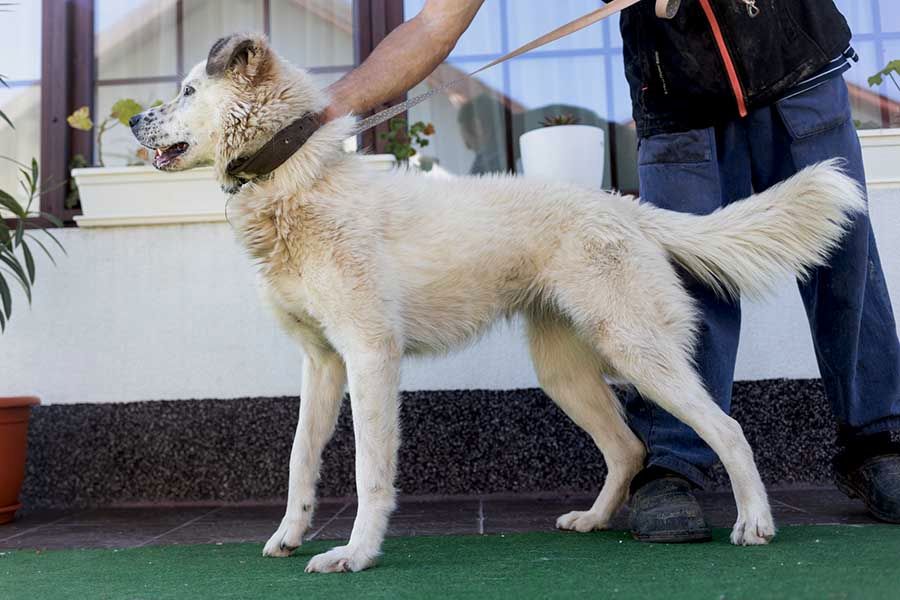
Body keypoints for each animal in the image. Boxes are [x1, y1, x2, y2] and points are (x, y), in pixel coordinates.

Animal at [130, 34, 868, 576]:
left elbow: (370, 471)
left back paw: (756, 523)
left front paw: (357, 554)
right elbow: (298, 460)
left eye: (189, 89)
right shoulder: (322, 365)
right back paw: (594, 520)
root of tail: (625, 207)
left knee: (728, 429)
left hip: (638, 353)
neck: (293, 182)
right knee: (628, 447)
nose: (135, 119)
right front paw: (290, 534)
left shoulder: (371, 358)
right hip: (566, 373)